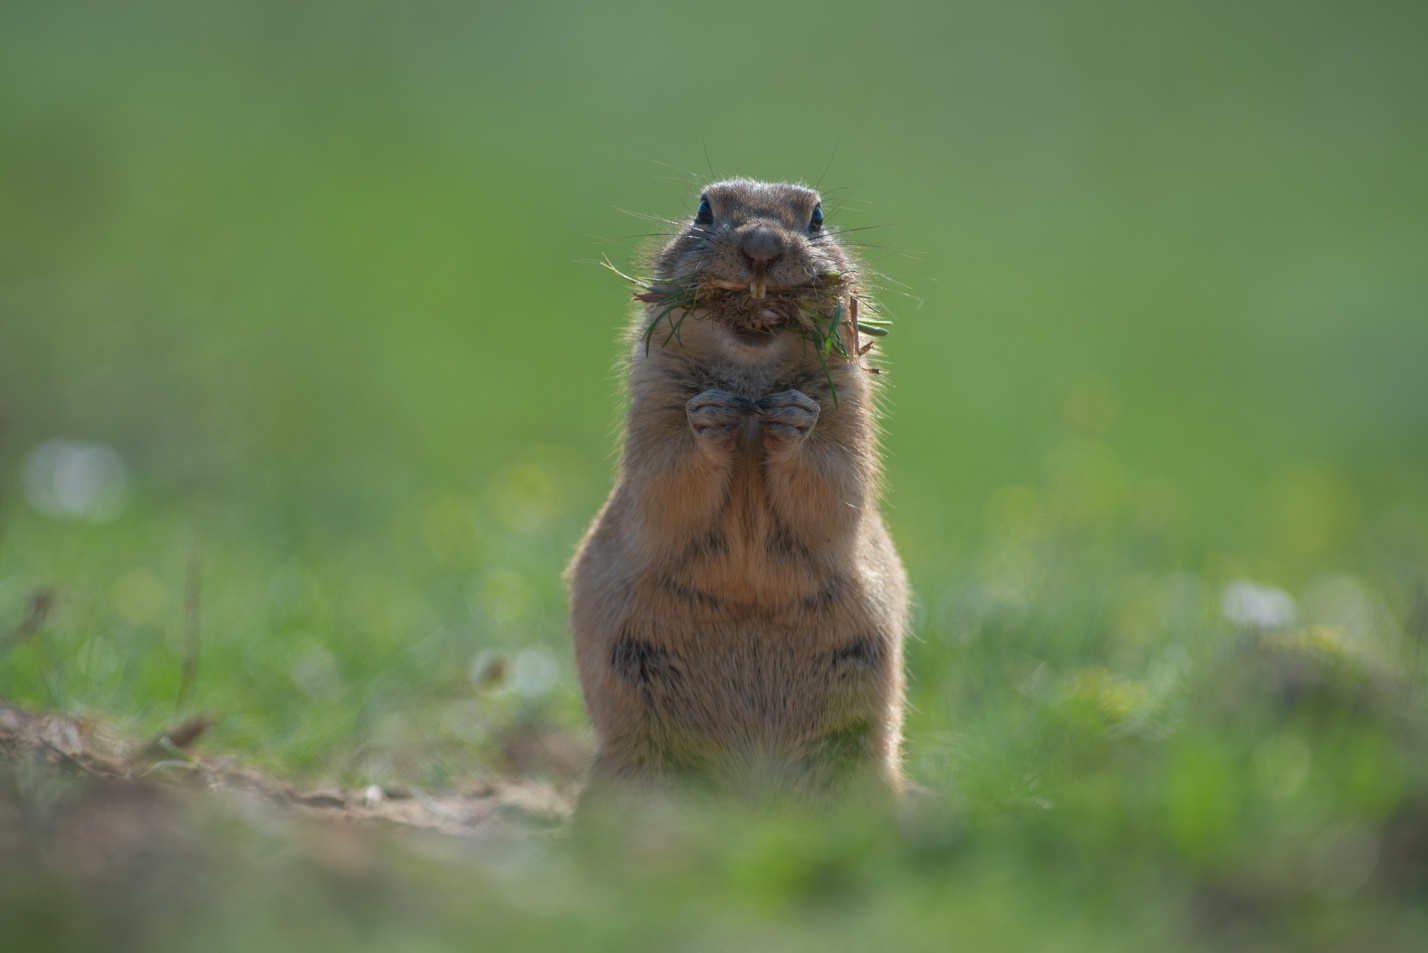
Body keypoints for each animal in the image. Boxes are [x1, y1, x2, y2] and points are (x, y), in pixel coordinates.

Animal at [565, 177, 902, 805]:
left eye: (817, 217)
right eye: (704, 210)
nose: (762, 245)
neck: (751, 382)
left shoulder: (849, 403)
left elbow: (838, 480)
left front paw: (794, 419)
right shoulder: (653, 394)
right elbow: (661, 475)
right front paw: (710, 417)